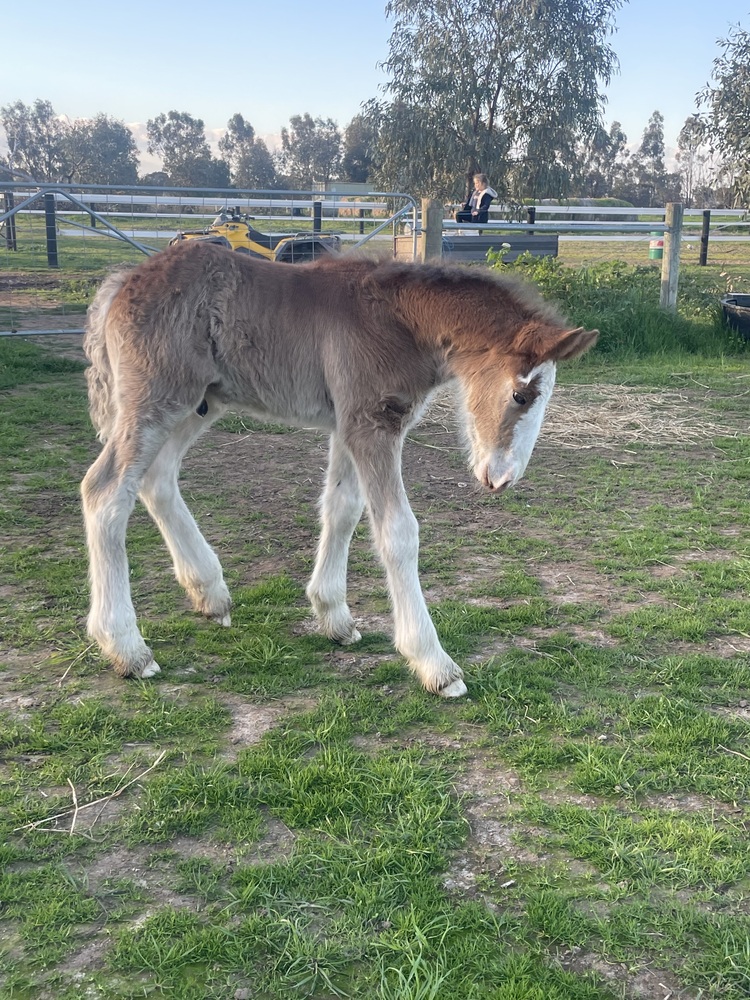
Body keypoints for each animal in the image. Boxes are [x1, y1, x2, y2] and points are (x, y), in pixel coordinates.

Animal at [81, 242, 597, 697]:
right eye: (521, 395)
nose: (502, 478)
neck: (398, 321)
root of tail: (122, 281)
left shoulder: (348, 423)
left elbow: (343, 507)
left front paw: (334, 616)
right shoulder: (374, 423)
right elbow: (397, 532)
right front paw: (434, 663)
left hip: (198, 403)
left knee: (157, 479)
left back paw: (210, 593)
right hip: (157, 401)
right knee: (105, 490)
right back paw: (128, 649)